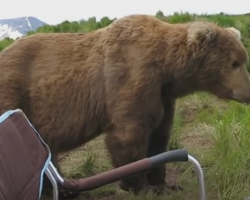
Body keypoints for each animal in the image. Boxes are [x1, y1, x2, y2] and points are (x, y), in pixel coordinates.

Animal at [0, 14, 250, 197]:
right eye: (234, 63)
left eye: (242, 60)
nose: (248, 92)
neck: (167, 69)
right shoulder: (131, 76)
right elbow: (129, 134)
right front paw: (138, 185)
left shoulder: (163, 96)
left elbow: (160, 136)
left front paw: (165, 184)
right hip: (15, 96)